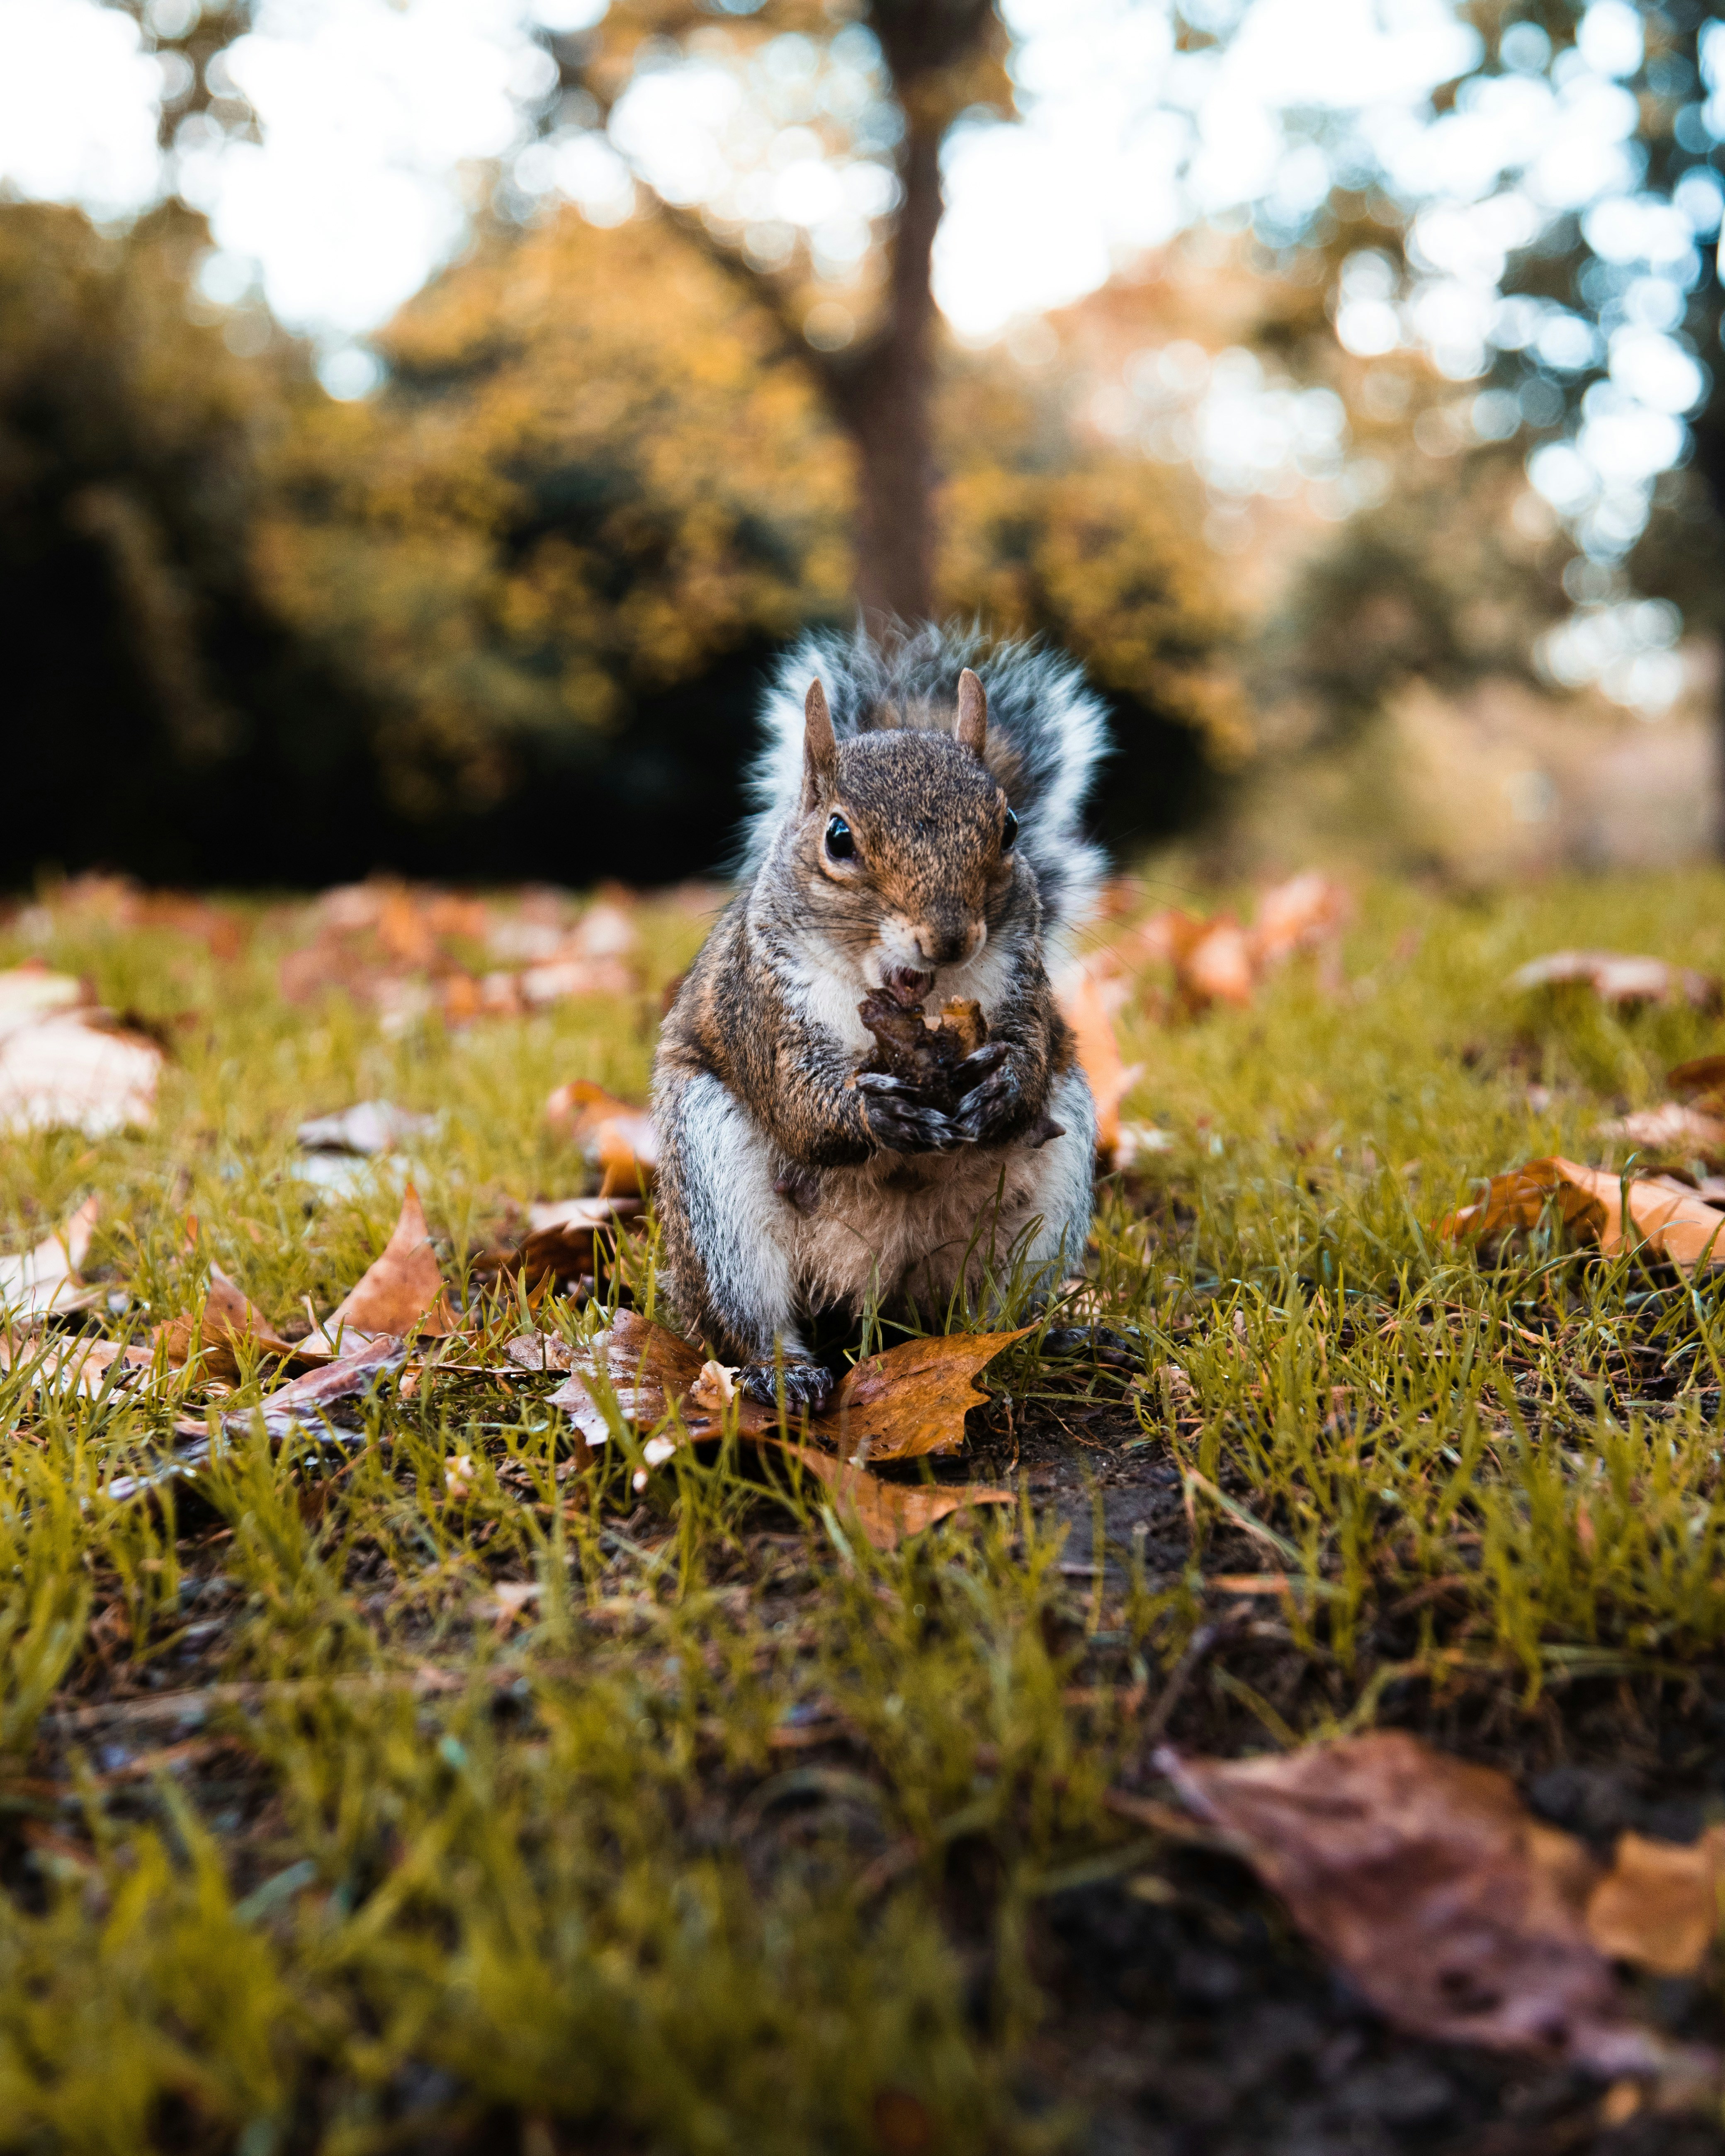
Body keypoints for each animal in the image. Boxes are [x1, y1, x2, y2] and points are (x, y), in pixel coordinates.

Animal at [651, 622, 1107, 1409]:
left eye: (1010, 826)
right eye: (838, 838)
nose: (949, 937)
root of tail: (880, 1302)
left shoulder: (1026, 990)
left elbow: (1032, 1049)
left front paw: (1002, 1088)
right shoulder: (762, 1007)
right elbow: (798, 1101)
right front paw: (877, 1114)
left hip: (1049, 1198)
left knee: (999, 1318)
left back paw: (1043, 1342)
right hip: (716, 1197)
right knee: (748, 1318)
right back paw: (784, 1372)